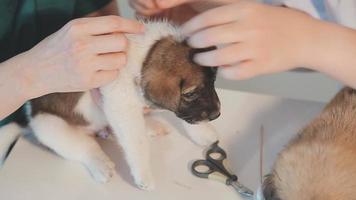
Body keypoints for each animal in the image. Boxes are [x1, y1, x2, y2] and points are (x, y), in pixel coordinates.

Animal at [0, 20, 220, 191]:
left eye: (213, 82)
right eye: (190, 93)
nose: (217, 114)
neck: (145, 56)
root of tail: (27, 121)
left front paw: (203, 132)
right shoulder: (121, 105)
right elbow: (137, 142)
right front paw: (143, 175)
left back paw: (151, 125)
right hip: (50, 126)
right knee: (84, 147)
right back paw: (101, 164)